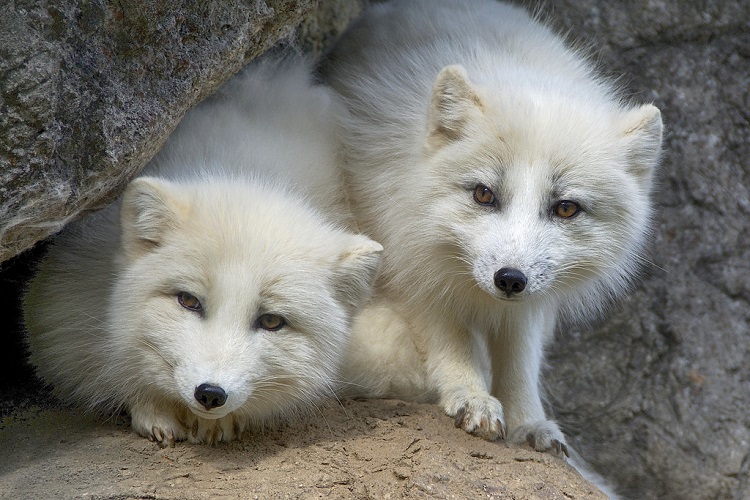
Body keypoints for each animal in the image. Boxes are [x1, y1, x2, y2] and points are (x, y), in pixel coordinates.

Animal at [320, 0, 660, 458]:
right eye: (484, 194)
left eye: (566, 208)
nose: (510, 279)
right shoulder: (413, 266)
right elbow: (451, 343)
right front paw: (471, 397)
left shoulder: (531, 305)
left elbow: (520, 361)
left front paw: (529, 422)